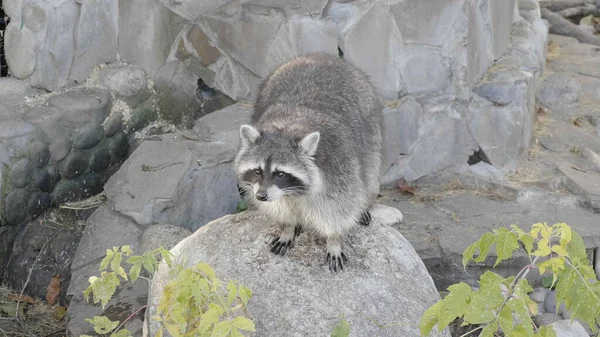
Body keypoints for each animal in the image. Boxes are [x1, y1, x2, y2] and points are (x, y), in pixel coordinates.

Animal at [232, 53, 382, 272]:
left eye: (280, 173)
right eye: (258, 171)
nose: (260, 196)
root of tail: (321, 56)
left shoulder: (339, 171)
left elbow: (339, 211)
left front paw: (334, 240)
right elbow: (281, 209)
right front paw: (287, 228)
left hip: (371, 128)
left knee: (369, 175)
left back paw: (364, 203)